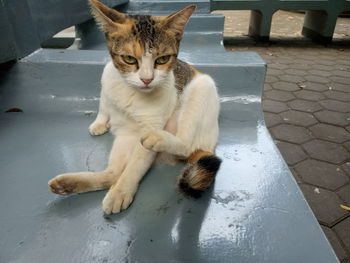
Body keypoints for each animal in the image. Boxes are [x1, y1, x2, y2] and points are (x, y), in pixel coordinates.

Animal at [48, 0, 221, 216]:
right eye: (129, 59)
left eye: (162, 59)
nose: (147, 79)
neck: (130, 92)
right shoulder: (106, 84)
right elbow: (103, 104)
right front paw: (100, 122)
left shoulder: (151, 128)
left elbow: (133, 169)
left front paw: (121, 192)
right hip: (125, 138)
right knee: (112, 174)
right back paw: (68, 184)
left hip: (202, 89)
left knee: (185, 146)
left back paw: (158, 139)